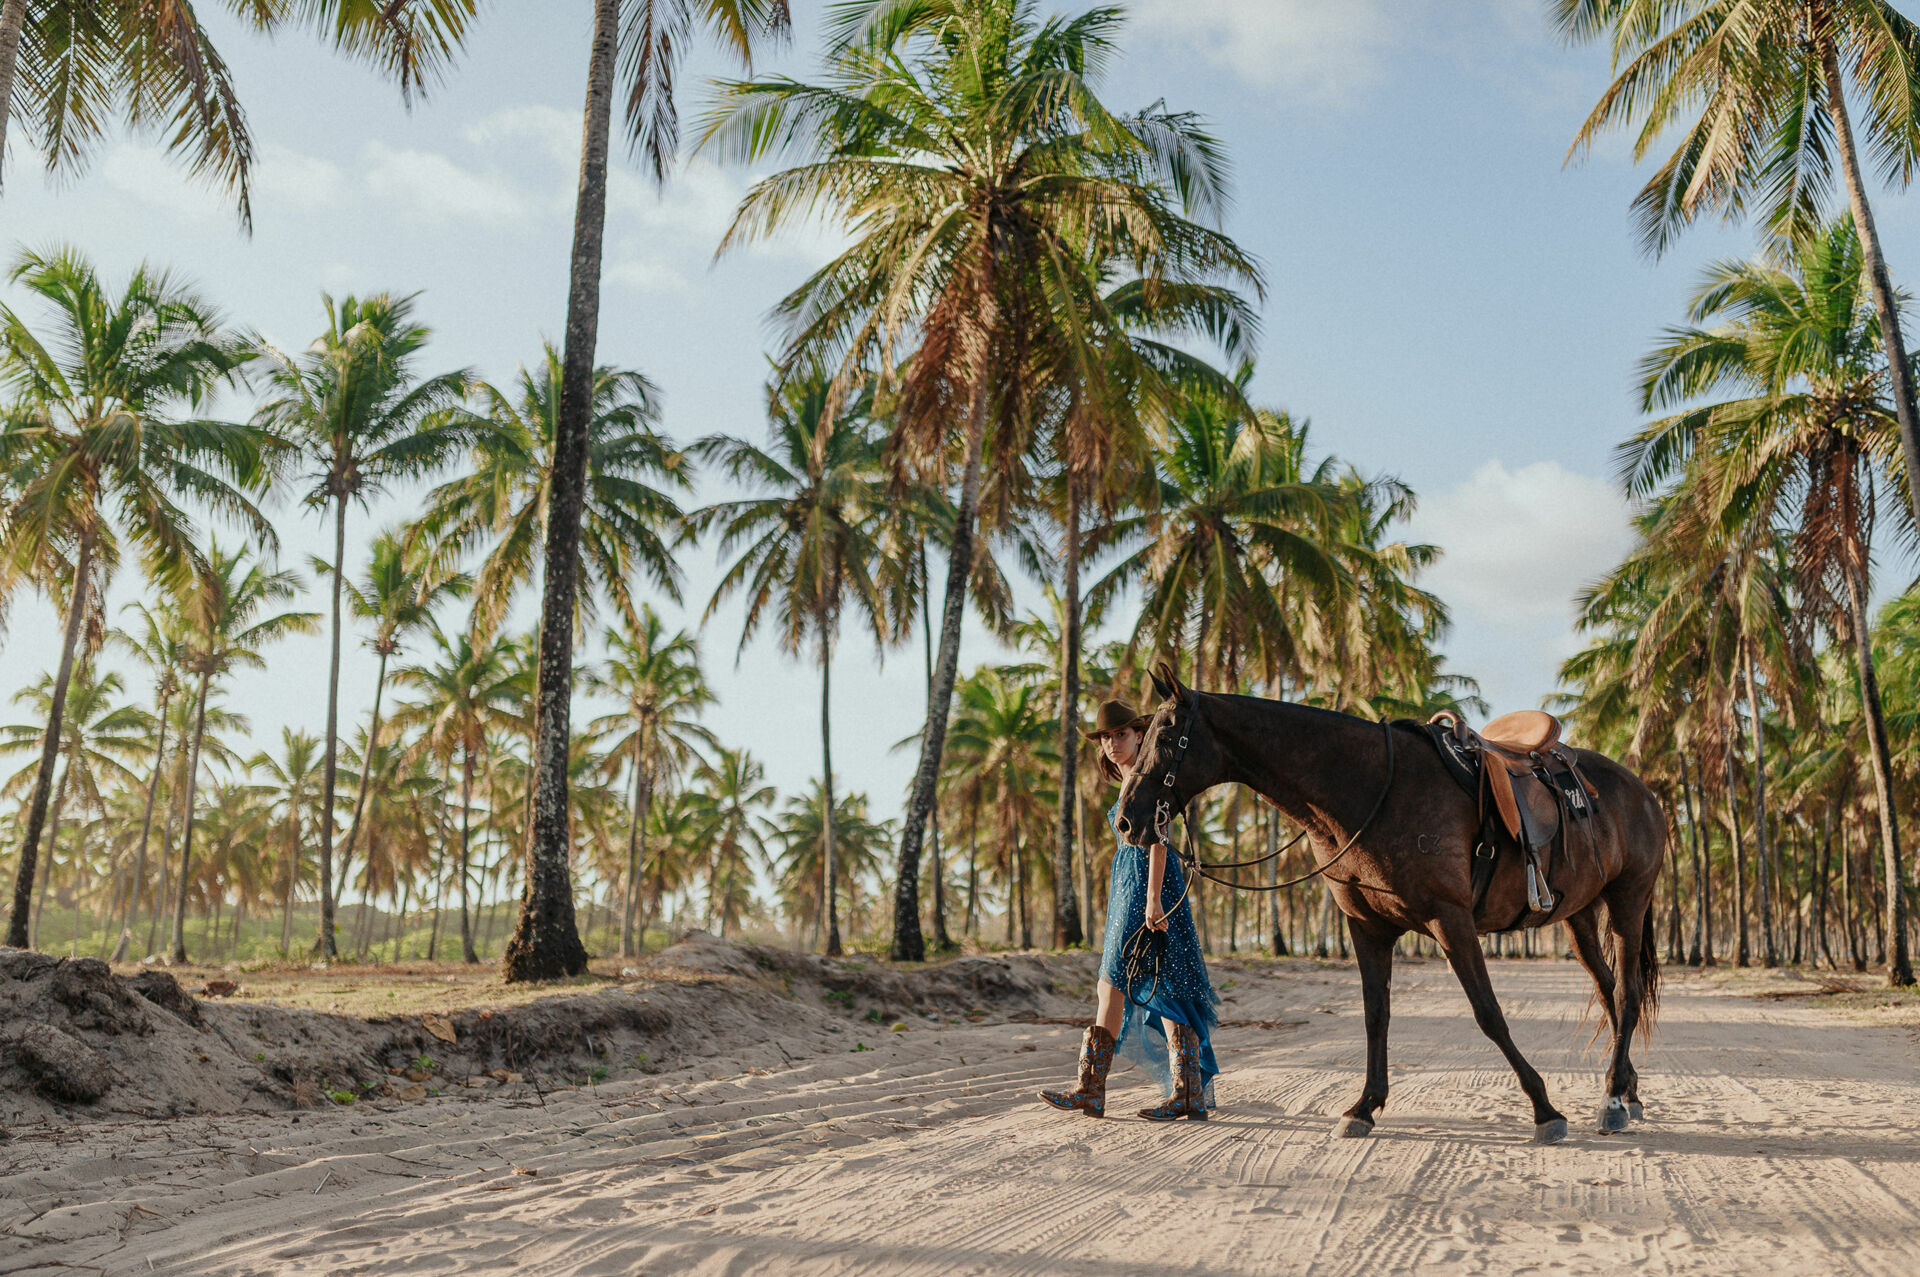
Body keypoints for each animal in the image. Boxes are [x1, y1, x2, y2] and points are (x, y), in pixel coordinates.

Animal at [1114, 662, 1664, 1145]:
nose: (1125, 820)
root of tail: (1640, 789)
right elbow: (1375, 1014)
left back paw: (1613, 1100)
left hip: (1628, 902)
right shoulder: (1366, 925)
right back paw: (1626, 1091)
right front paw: (1364, 1107)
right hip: (1578, 915)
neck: (1370, 790)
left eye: (1166, 738)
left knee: (1628, 993)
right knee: (1609, 990)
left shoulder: (1450, 919)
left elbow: (1488, 1013)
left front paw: (1544, 1109)